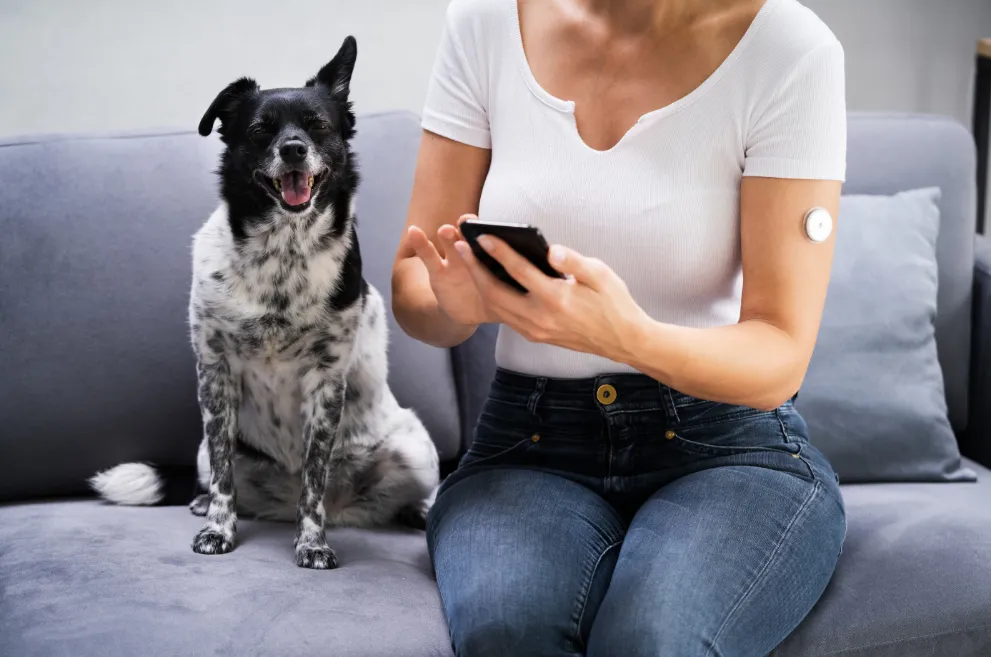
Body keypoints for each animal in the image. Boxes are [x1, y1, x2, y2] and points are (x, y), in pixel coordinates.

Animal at [88, 36, 438, 568]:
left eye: (318, 125)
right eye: (259, 130)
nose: (293, 149)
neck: (283, 253)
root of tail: (346, 509)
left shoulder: (325, 384)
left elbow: (314, 479)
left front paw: (312, 542)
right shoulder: (214, 373)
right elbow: (224, 474)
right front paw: (218, 529)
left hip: (416, 449)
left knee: (407, 492)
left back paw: (419, 510)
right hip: (204, 448)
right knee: (218, 476)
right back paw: (201, 503)